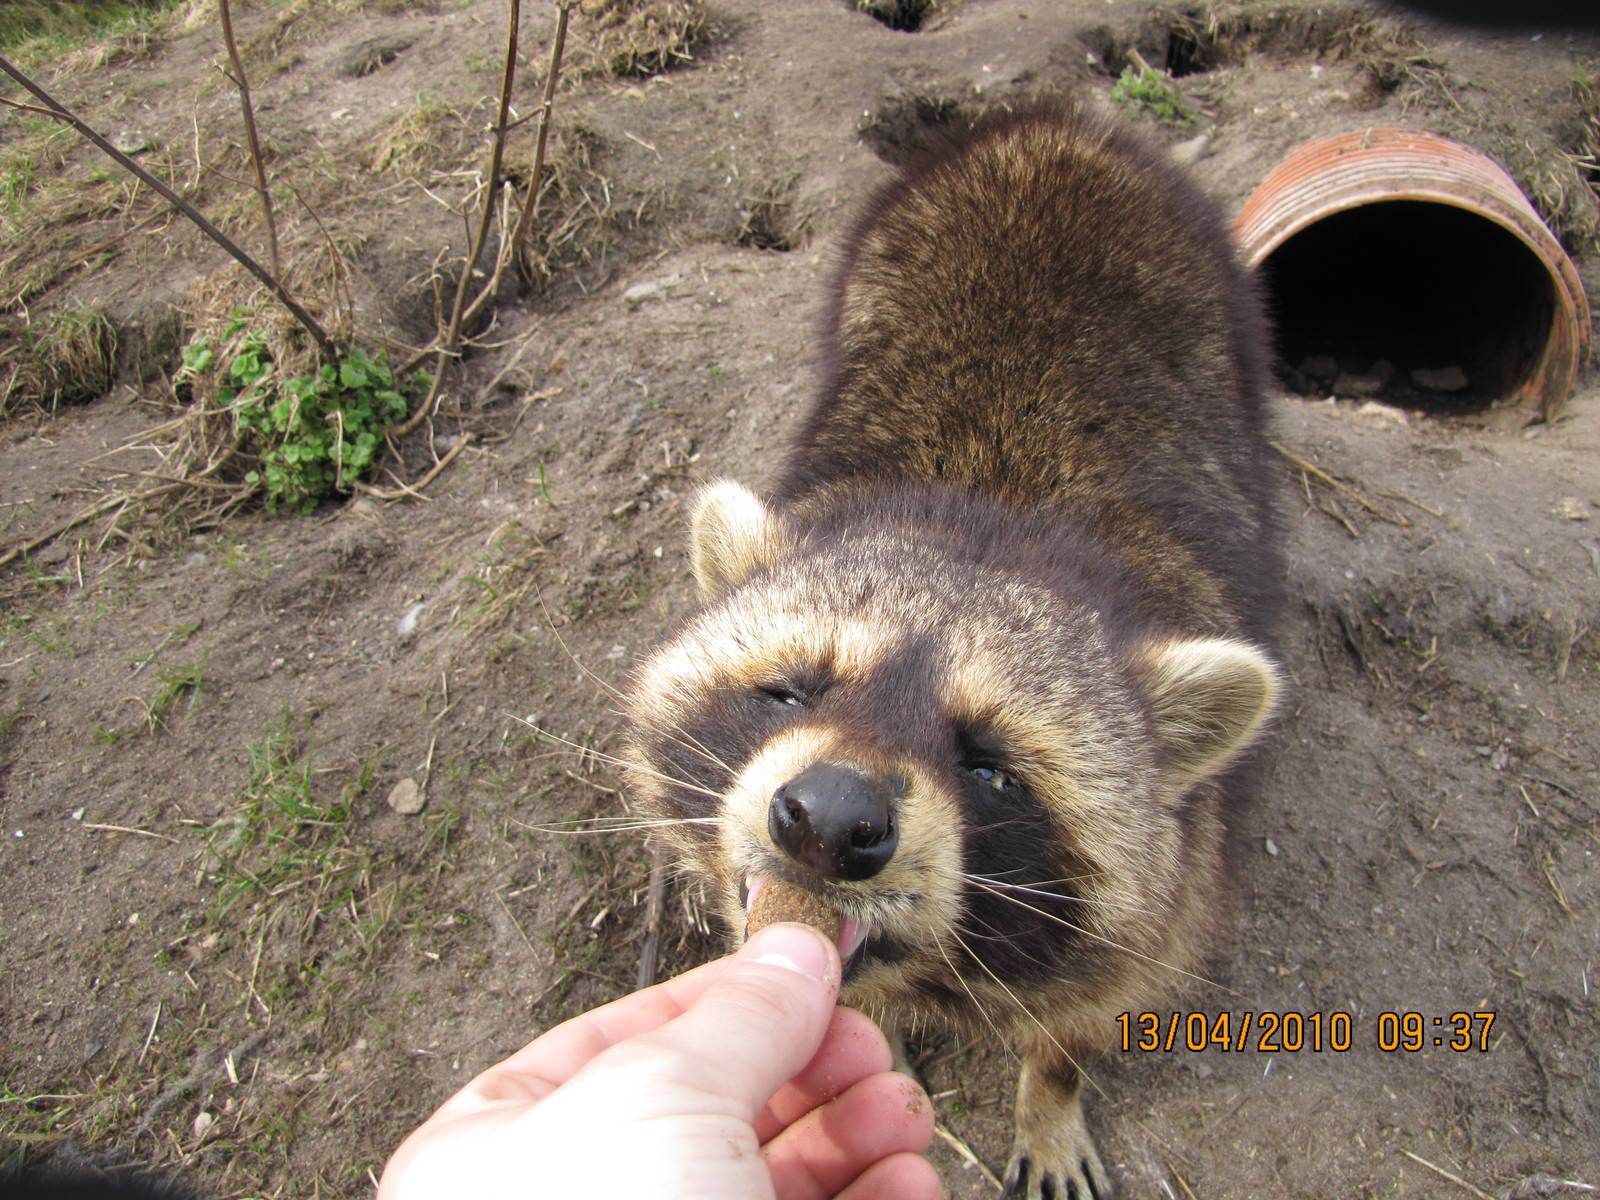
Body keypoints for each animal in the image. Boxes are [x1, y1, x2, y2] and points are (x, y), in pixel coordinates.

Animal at [623, 103, 1282, 1199]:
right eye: (788, 691)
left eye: (992, 768)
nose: (829, 822)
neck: (988, 520)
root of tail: (1052, 127)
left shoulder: (1180, 878)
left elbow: (1096, 1000)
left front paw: (1052, 1088)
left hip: (1230, 314)